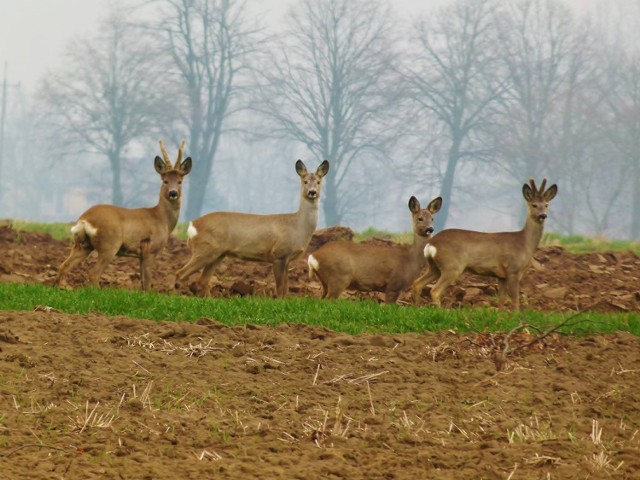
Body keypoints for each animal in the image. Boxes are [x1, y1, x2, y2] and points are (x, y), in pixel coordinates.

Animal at [55, 141, 192, 290]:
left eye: (180, 181)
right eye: (165, 180)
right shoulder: (150, 250)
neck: (162, 219)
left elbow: (143, 282)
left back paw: (61, 288)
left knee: (63, 266)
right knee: (93, 274)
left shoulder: (141, 254)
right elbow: (147, 282)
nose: (173, 193)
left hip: (82, 245)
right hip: (109, 244)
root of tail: (84, 220)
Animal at [175, 159, 330, 298]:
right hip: (205, 249)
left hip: (218, 254)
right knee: (181, 273)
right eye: (305, 181)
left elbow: (285, 288)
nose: (312, 192)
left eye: (318, 181)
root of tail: (192, 226)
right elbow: (280, 288)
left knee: (202, 281)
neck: (297, 226)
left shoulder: (286, 260)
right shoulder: (278, 254)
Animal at [308, 196, 442, 304]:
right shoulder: (394, 284)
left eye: (432, 219)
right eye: (420, 218)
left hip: (324, 281)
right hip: (339, 278)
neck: (410, 259)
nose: (430, 229)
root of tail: (313, 256)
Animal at [412, 178, 556, 310]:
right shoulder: (513, 270)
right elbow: (515, 301)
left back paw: (417, 308)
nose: (542, 215)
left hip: (435, 267)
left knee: (417, 284)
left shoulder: (501, 276)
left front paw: (500, 317)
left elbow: (501, 300)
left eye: (546, 205)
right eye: (534, 205)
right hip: (452, 266)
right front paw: (515, 317)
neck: (524, 243)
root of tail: (431, 244)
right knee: (434, 291)